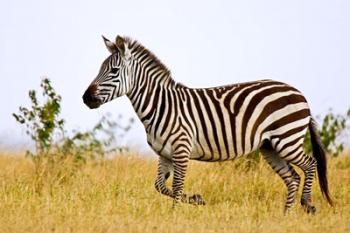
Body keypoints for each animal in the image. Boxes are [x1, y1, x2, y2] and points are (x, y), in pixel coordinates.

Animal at [83, 35, 332, 213]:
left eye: (113, 71)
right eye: (100, 69)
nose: (86, 98)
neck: (161, 105)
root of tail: (299, 93)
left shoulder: (182, 149)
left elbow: (176, 186)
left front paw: (174, 215)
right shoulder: (164, 154)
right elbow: (160, 186)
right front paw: (196, 199)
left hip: (286, 138)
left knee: (310, 164)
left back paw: (307, 203)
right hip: (270, 146)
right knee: (293, 178)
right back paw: (286, 216)